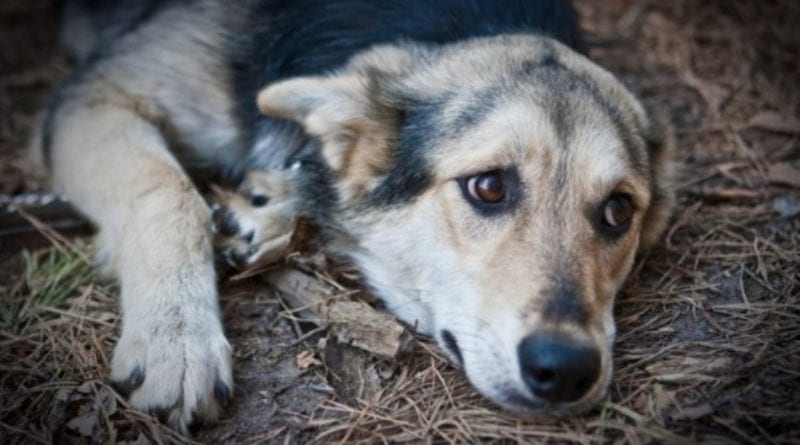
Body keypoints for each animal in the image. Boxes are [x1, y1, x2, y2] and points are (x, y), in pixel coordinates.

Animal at [31, 0, 672, 432]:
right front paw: (177, 339)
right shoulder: (95, 95)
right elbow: (169, 191)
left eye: (618, 210)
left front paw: (274, 207)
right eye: (489, 187)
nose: (566, 370)